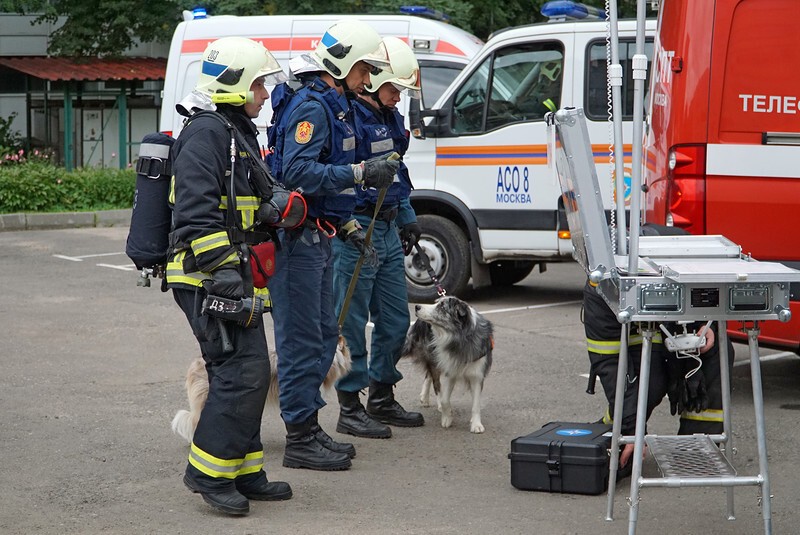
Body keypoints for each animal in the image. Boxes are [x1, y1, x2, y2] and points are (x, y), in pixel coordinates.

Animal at [400, 298, 494, 436]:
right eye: (436, 302)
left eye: (441, 307)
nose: (417, 307)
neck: (459, 338)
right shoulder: (450, 371)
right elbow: (445, 399)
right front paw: (447, 417)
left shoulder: (477, 375)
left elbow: (476, 404)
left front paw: (476, 424)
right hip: (433, 355)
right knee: (435, 382)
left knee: (429, 375)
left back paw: (424, 397)